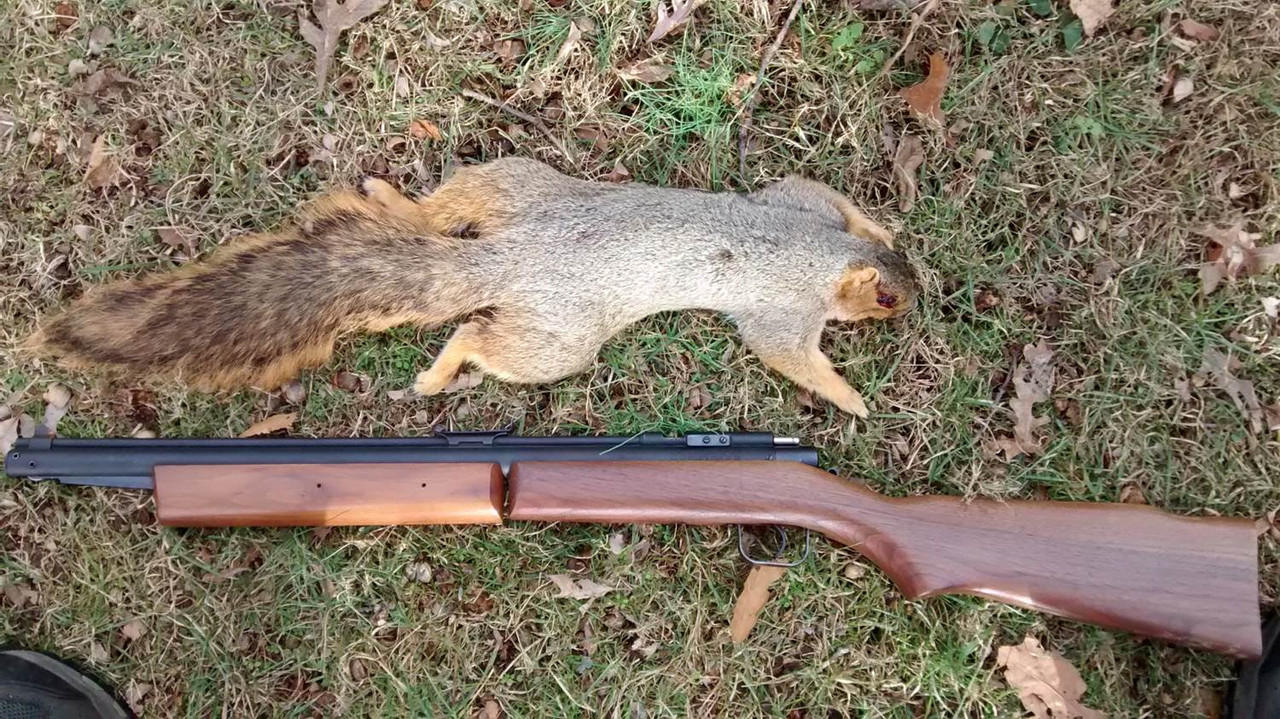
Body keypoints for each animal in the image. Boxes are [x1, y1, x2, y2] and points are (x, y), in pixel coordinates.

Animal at [31, 157, 919, 416]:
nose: (915, 302)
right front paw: (851, 398)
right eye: (888, 299)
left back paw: (391, 198)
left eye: (904, 280)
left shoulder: (800, 204)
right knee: (478, 336)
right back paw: (437, 373)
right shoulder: (780, 311)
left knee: (439, 208)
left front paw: (883, 219)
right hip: (556, 338)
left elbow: (820, 191)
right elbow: (791, 358)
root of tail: (508, 259)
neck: (818, 254)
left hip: (504, 184)